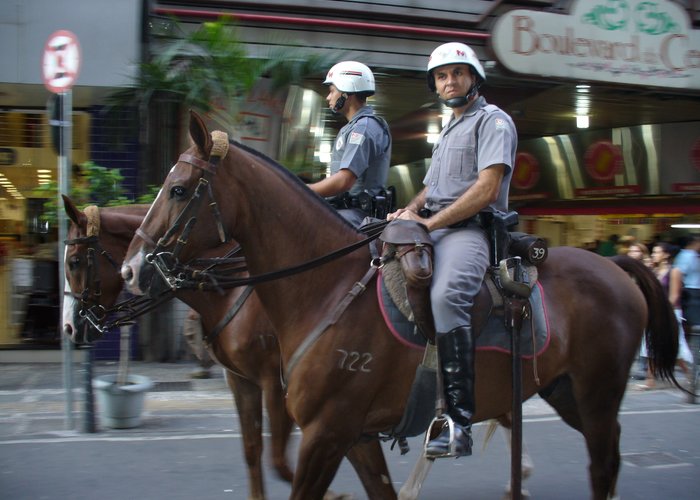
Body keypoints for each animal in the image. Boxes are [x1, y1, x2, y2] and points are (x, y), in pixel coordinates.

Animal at [60, 195, 298, 500]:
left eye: (75, 261)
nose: (68, 327)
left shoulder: (277, 382)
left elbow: (283, 459)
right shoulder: (241, 380)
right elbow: (253, 450)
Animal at [120, 113, 680, 500]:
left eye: (178, 189)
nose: (131, 269)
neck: (325, 289)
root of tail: (616, 267)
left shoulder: (326, 431)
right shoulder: (351, 435)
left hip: (597, 392)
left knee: (603, 462)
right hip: (566, 392)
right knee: (603, 456)